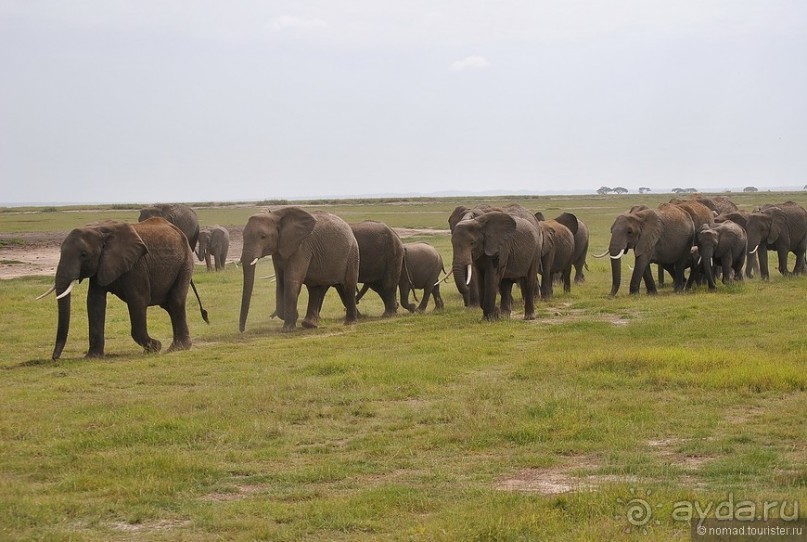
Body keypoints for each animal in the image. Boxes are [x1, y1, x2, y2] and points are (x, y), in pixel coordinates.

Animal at [37, 217, 208, 362]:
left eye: (84, 255)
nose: (55, 358)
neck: (100, 229)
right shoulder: (103, 264)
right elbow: (94, 302)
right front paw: (92, 358)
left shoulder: (136, 265)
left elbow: (138, 300)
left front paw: (155, 347)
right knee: (169, 306)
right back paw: (175, 348)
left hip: (185, 263)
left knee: (175, 302)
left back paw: (178, 348)